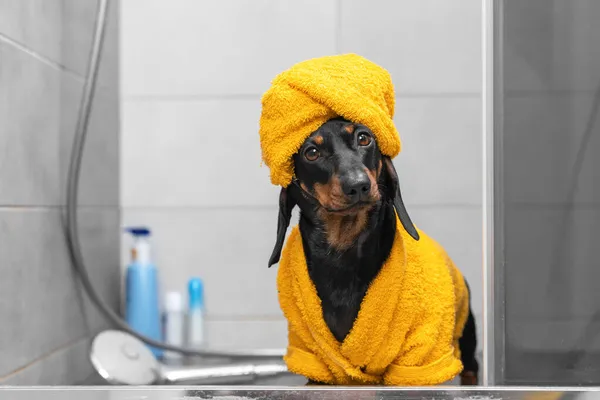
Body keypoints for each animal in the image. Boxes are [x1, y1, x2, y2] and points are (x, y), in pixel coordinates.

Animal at [268, 117, 478, 386]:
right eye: (311, 153)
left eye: (363, 138)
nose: (358, 185)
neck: (343, 253)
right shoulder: (313, 357)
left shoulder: (418, 359)